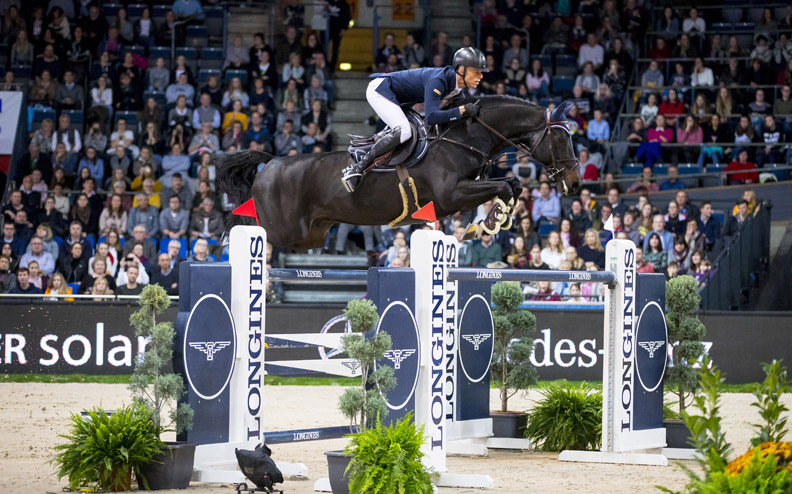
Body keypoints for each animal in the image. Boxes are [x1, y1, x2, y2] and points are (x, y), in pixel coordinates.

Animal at [216, 96, 580, 249]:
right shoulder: (452, 195)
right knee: (243, 227)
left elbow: (512, 183)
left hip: (311, 235)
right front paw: (487, 224)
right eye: (561, 138)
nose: (575, 184)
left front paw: (491, 223)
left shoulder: (466, 190)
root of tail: (270, 164)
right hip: (282, 230)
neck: (465, 137)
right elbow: (505, 185)